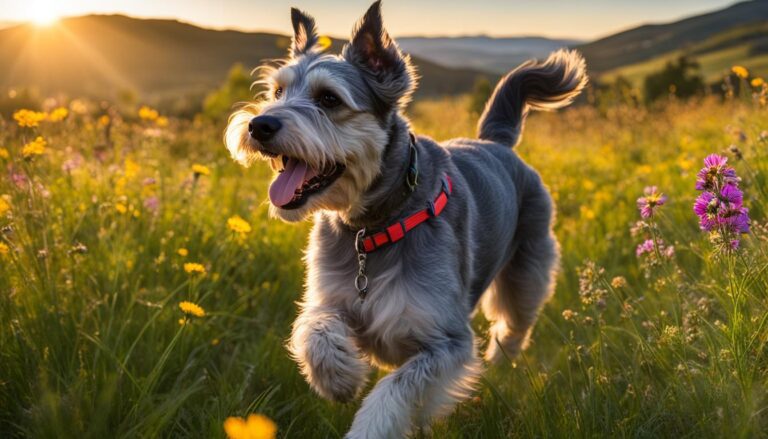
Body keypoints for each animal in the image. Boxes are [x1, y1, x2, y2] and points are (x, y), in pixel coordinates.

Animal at [225, 2, 584, 436]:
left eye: (328, 98)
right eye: (277, 92)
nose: (259, 125)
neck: (371, 226)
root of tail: (494, 142)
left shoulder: (447, 339)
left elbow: (397, 388)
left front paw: (369, 426)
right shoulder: (331, 297)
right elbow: (315, 327)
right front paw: (339, 377)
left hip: (526, 273)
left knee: (514, 324)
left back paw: (502, 363)